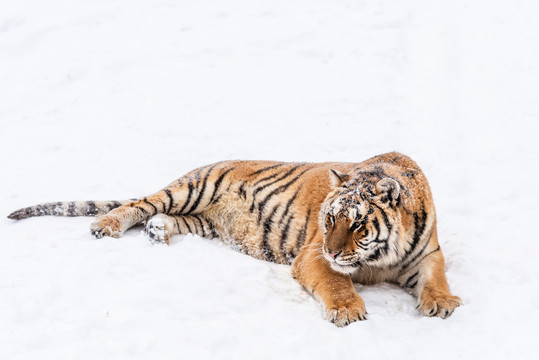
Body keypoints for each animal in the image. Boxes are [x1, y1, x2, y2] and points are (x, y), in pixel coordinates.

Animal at [7, 152, 460, 326]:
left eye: (357, 225)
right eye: (330, 220)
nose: (333, 249)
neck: (381, 258)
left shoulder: (428, 253)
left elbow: (436, 277)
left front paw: (441, 303)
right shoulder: (313, 254)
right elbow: (335, 280)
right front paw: (348, 310)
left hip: (203, 221)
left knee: (164, 218)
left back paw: (158, 234)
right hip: (191, 189)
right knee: (138, 204)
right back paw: (106, 226)